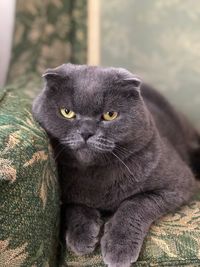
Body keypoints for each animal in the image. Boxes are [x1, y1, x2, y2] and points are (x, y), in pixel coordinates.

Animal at [32, 63, 200, 267]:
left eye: (110, 115)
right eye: (67, 112)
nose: (86, 132)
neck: (95, 176)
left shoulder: (178, 184)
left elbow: (135, 203)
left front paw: (119, 248)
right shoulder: (67, 197)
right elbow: (73, 206)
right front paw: (82, 237)